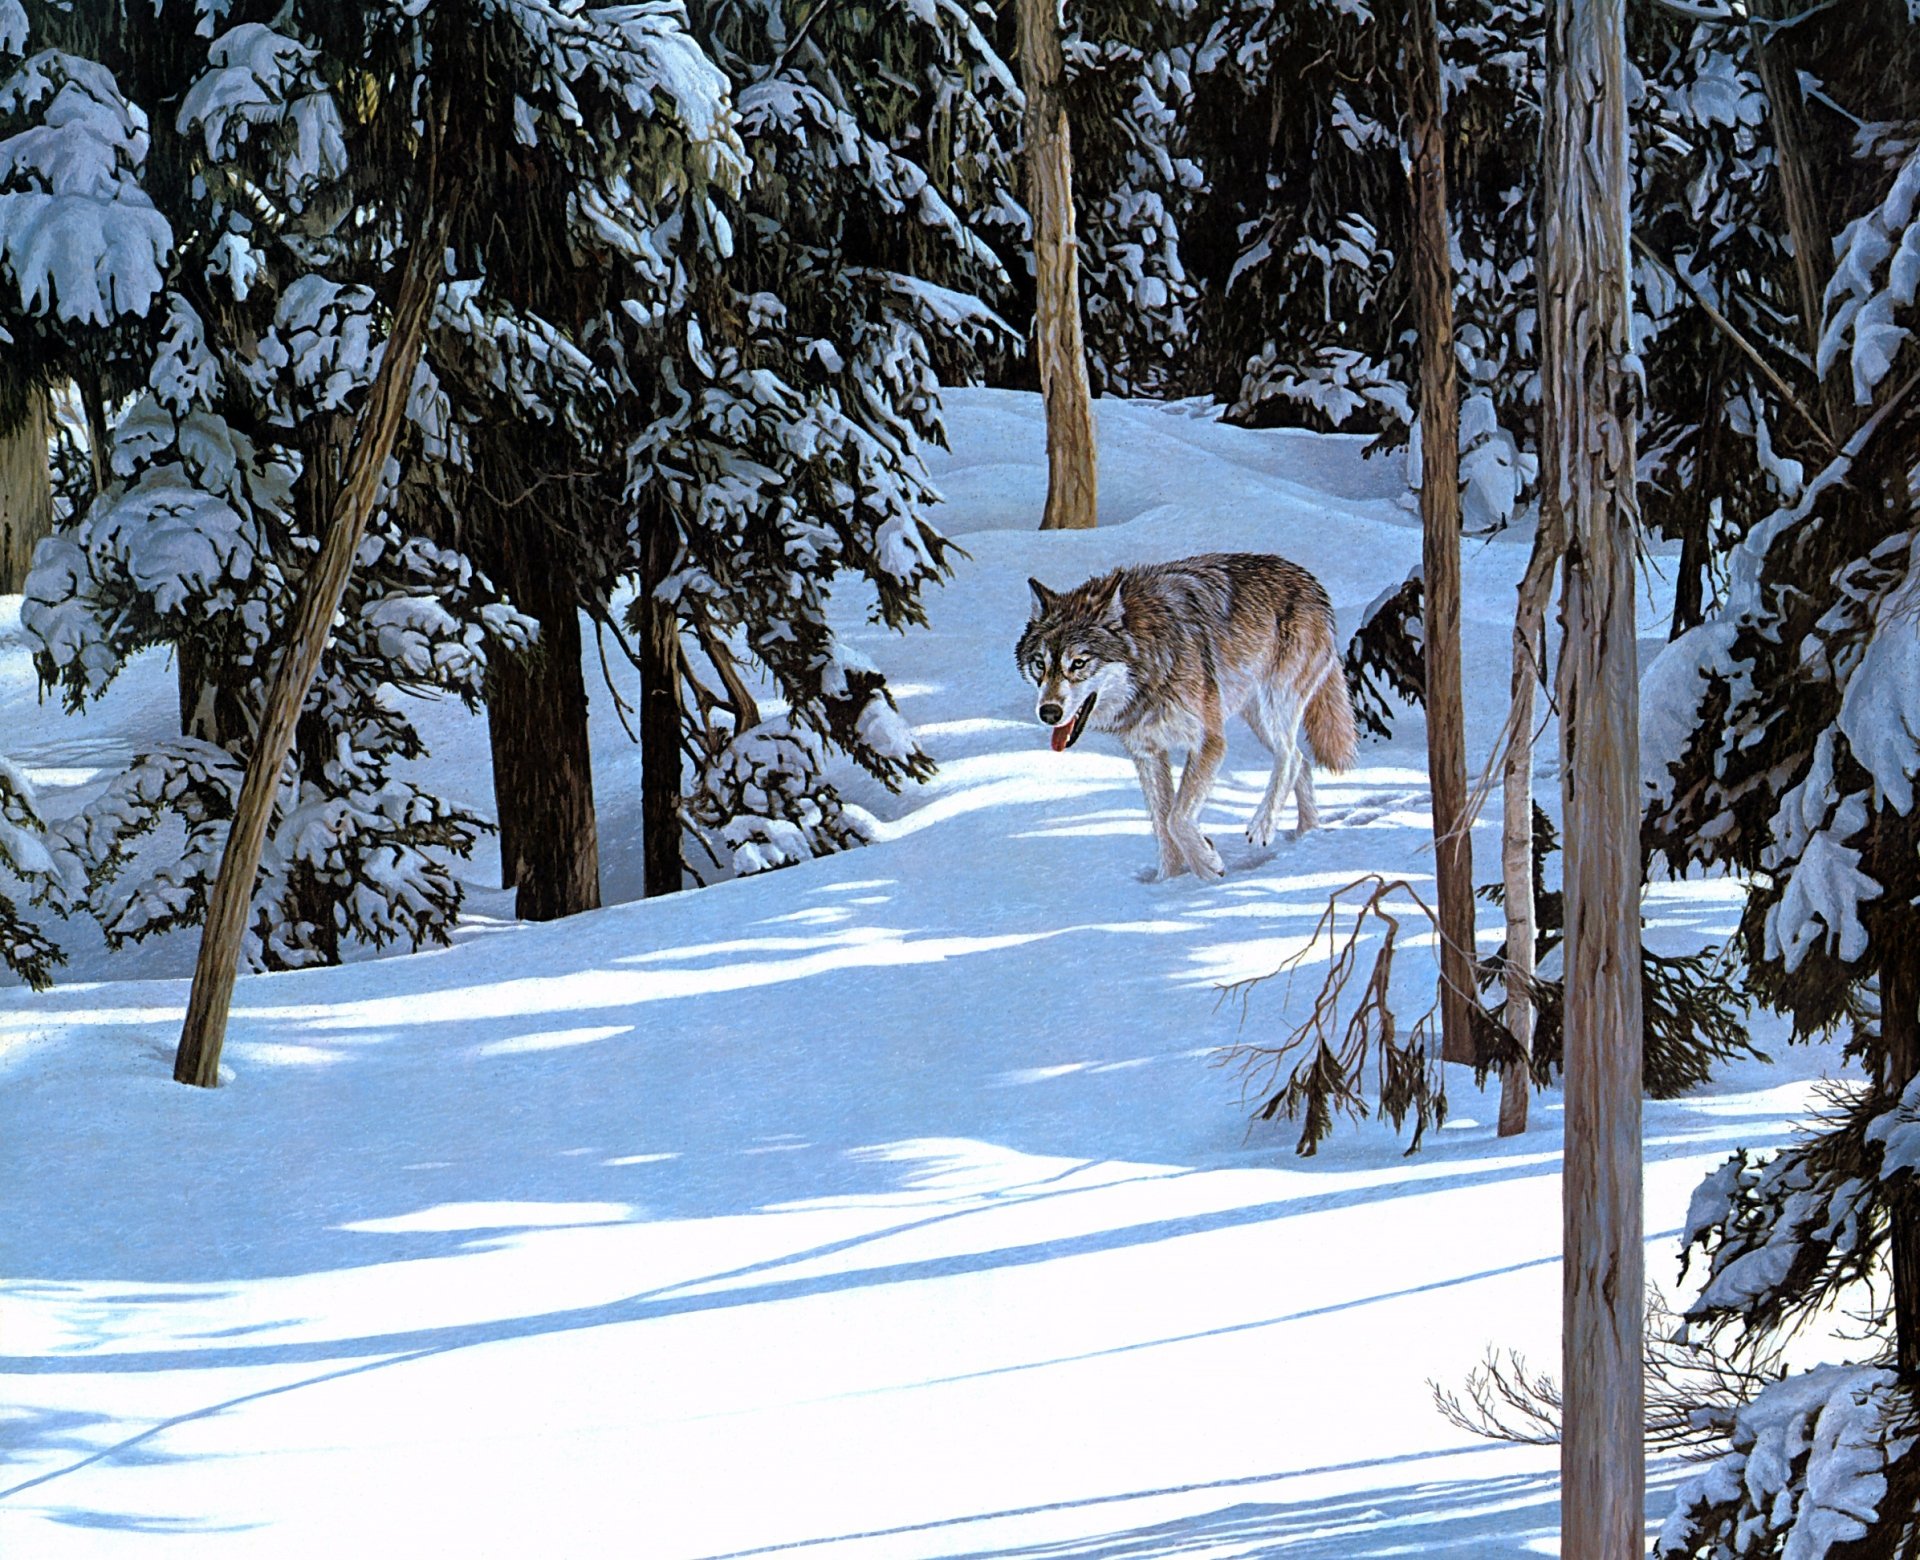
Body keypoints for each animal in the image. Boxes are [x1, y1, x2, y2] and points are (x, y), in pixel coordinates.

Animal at [1015, 552, 1359, 881]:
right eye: (1040, 664)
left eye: (1078, 663)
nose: (1048, 713)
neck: (1151, 665)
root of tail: (1308, 580)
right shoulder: (1148, 753)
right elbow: (1162, 824)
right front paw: (1169, 882)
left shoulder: (1209, 742)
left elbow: (1176, 818)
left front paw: (1206, 865)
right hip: (1257, 717)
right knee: (1302, 760)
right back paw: (1307, 833)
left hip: (1274, 705)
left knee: (1289, 757)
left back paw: (1263, 827)